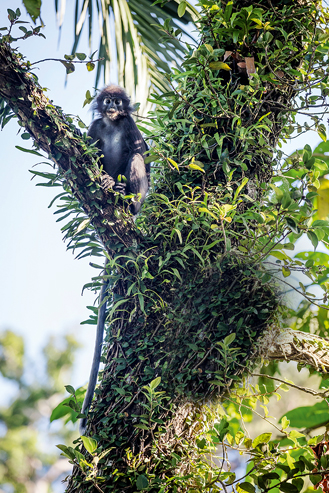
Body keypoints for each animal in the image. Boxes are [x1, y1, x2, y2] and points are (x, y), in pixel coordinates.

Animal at [86, 84, 149, 213]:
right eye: (108, 101)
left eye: (117, 102)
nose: (112, 106)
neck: (112, 122)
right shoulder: (95, 125)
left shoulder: (128, 122)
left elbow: (140, 152)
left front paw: (112, 181)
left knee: (136, 157)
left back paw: (129, 200)